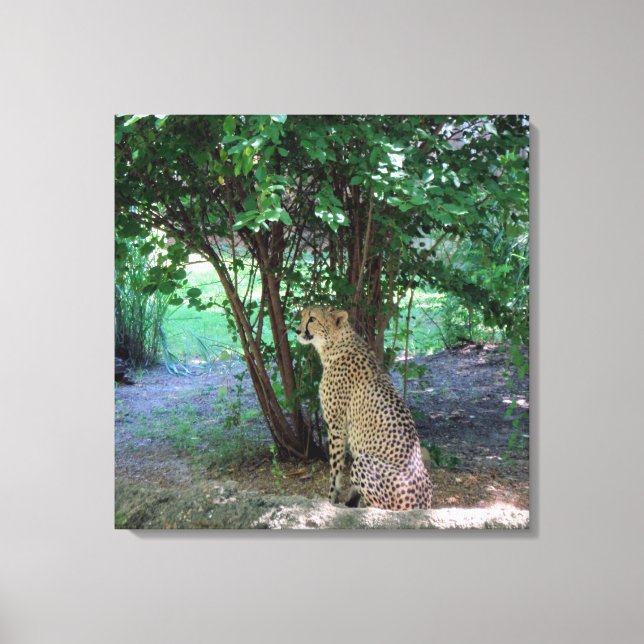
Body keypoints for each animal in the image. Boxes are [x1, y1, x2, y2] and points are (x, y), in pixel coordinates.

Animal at [295, 306, 432, 511]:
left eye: (312, 319)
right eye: (302, 315)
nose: (296, 330)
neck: (336, 344)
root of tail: (423, 504)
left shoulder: (336, 426)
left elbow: (335, 470)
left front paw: (331, 500)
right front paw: (350, 499)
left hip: (364, 461)